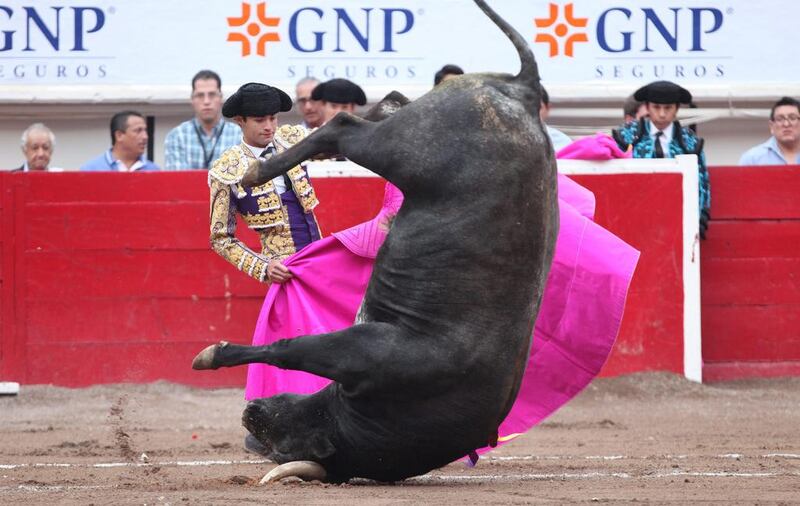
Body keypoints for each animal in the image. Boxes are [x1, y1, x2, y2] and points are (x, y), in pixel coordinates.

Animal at [192, 0, 556, 482]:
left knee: (364, 115)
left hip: (404, 148)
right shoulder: (362, 350)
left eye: (284, 444)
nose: (250, 413)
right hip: (404, 150)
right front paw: (211, 354)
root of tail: (526, 94)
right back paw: (255, 171)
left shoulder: (361, 354)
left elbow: (291, 347)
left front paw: (212, 354)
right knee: (347, 122)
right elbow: (292, 348)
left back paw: (263, 167)